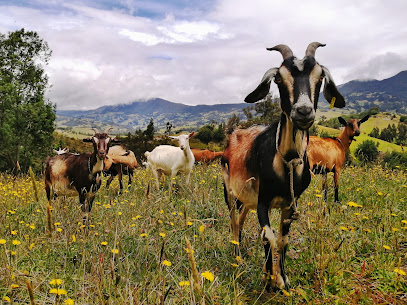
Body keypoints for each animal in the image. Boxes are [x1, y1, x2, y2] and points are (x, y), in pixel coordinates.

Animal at [222, 42, 346, 290]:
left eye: (320, 77)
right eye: (279, 78)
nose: (303, 111)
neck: (288, 161)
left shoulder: (290, 203)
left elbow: (283, 239)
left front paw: (284, 279)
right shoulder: (263, 202)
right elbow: (268, 236)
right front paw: (271, 279)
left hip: (246, 198)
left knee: (241, 219)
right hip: (229, 190)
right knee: (233, 221)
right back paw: (237, 256)